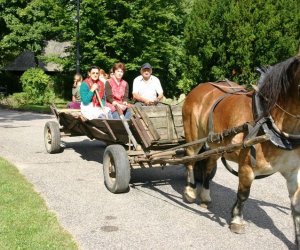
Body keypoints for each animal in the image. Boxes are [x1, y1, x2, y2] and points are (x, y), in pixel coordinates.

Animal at [183, 56, 300, 242]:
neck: (269, 120)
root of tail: (199, 88)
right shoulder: (246, 166)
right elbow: (243, 194)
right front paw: (237, 220)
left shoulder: (293, 171)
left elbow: (296, 205)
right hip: (193, 135)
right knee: (190, 159)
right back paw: (190, 191)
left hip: (216, 145)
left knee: (208, 166)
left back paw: (205, 197)